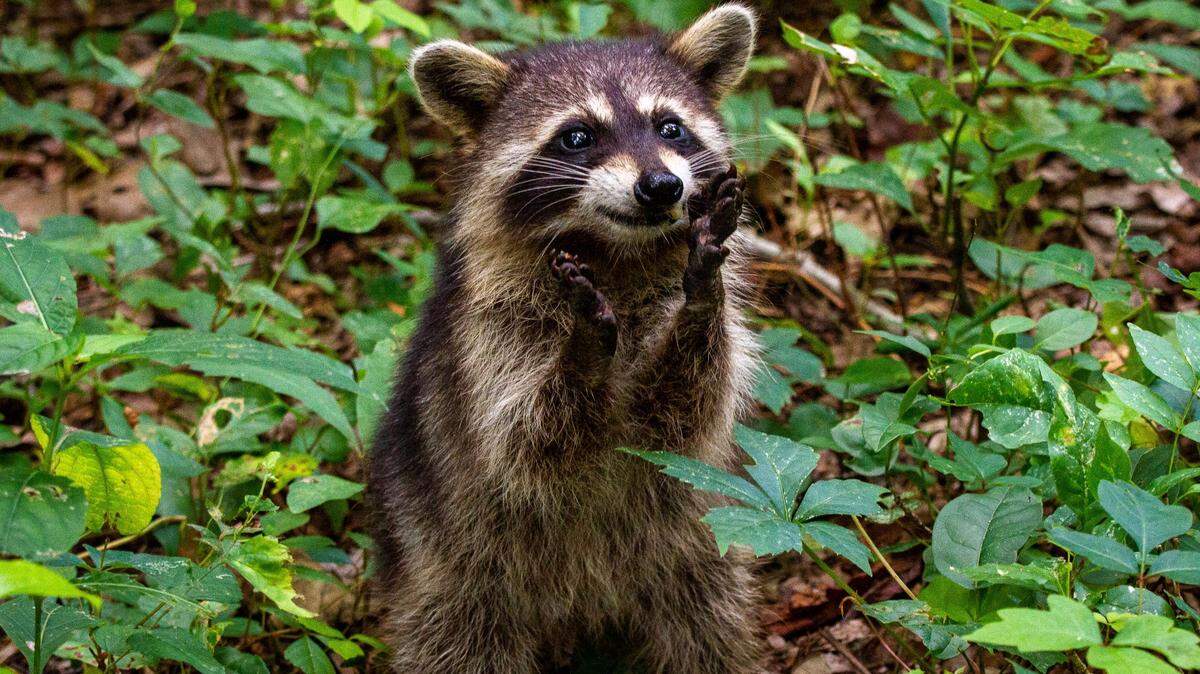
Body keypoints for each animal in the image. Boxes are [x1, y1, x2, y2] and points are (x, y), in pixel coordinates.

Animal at [368, 5, 762, 672]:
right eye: (578, 136)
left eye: (670, 127)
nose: (662, 186)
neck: (616, 254)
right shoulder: (488, 332)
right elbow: (525, 441)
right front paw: (581, 353)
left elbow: (687, 413)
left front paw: (699, 300)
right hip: (452, 571)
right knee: (458, 643)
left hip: (697, 555)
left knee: (711, 632)